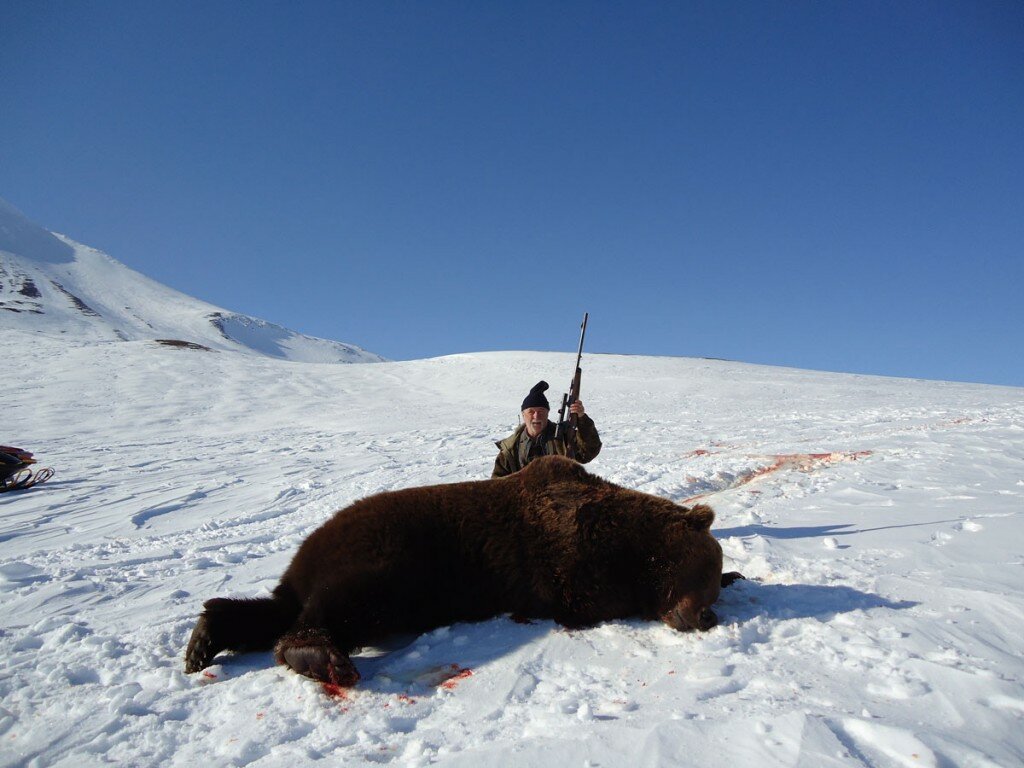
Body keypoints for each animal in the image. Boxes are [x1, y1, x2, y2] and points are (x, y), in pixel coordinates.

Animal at [186, 454, 745, 688]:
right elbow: (584, 595)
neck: (631, 543)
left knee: (277, 610)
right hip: (387, 559)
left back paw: (204, 639)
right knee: (336, 604)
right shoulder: (571, 554)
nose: (703, 617)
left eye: (712, 583)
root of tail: (304, 554)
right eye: (703, 571)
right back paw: (319, 657)